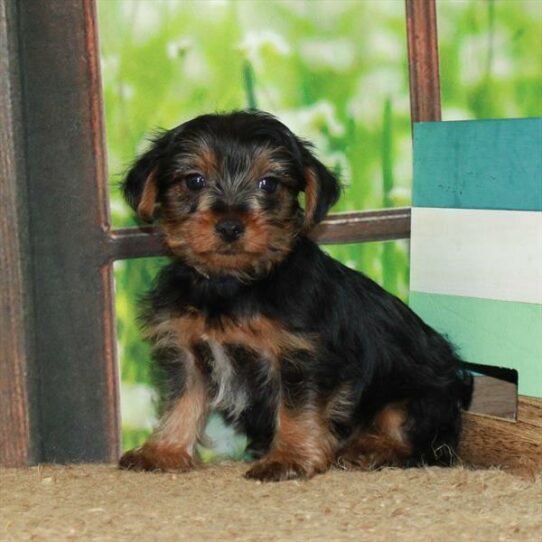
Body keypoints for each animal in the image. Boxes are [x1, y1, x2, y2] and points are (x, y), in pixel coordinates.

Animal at [118, 111, 472, 484]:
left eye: (269, 184)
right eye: (194, 181)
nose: (230, 225)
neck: (233, 284)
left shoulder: (300, 355)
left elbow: (297, 408)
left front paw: (289, 457)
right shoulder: (187, 349)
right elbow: (182, 399)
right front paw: (164, 449)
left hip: (415, 397)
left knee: (418, 443)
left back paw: (369, 448)